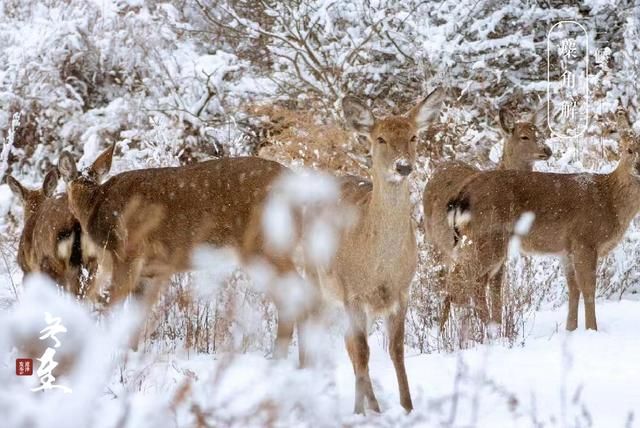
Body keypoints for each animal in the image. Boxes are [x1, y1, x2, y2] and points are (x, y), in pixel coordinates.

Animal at [304, 89, 444, 414]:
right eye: (380, 138)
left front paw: (407, 407)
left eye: (414, 136)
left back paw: (374, 404)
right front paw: (359, 412)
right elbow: (363, 351)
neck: (379, 265)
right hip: (314, 280)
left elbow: (396, 349)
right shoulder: (352, 291)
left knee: (348, 343)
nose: (403, 166)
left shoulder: (402, 291)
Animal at [422, 103, 552, 324]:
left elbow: (497, 295)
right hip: (439, 243)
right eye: (524, 136)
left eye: (540, 132)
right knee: (448, 280)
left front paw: (498, 324)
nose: (547, 150)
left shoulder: (503, 258)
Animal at [448, 108, 640, 332]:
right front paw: (592, 330)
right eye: (629, 150)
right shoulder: (585, 239)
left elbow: (573, 289)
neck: (610, 201)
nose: (638, 166)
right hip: (488, 236)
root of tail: (462, 194)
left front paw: (570, 329)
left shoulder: (567, 249)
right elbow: (589, 289)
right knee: (465, 281)